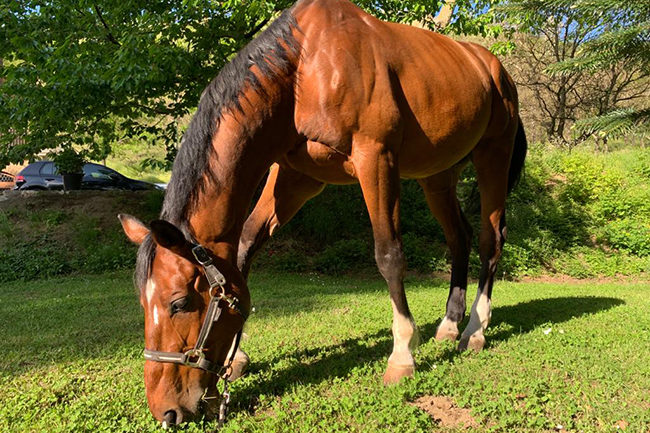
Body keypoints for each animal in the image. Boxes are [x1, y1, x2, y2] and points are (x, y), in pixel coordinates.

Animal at [117, 0, 528, 426]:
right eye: (143, 304)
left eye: (179, 303)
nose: (165, 410)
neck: (305, 68)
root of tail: (492, 67)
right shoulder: (294, 177)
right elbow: (245, 248)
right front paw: (239, 355)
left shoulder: (375, 158)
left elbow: (389, 255)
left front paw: (402, 355)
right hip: (438, 177)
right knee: (458, 238)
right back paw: (449, 325)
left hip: (493, 156)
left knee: (490, 240)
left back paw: (474, 330)